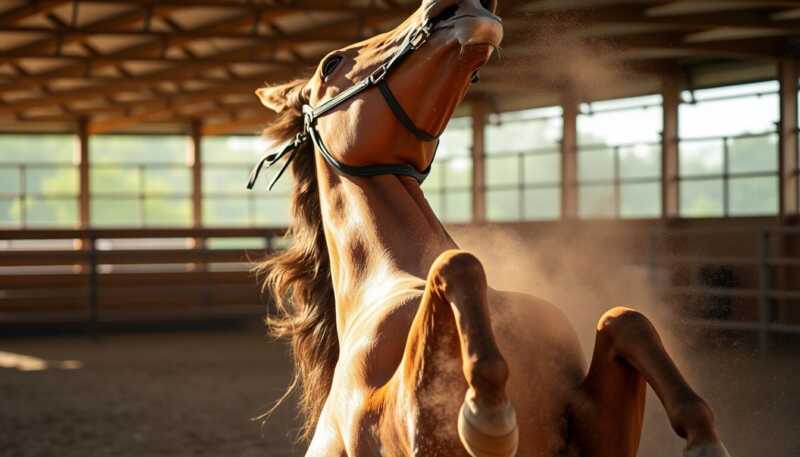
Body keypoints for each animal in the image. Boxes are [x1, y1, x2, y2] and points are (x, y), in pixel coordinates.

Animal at [251, 1, 731, 456]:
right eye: (331, 63)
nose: (456, 7)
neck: (394, 280)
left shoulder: (590, 429)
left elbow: (627, 319)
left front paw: (706, 440)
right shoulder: (395, 426)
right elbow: (458, 263)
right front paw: (488, 413)